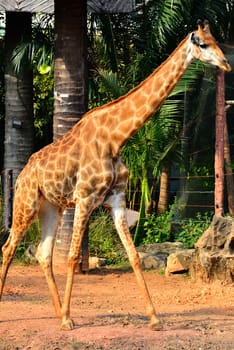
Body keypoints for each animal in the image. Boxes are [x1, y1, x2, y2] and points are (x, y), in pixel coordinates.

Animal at [0, 19, 230, 330]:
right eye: (203, 44)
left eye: (217, 40)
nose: (226, 64)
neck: (117, 138)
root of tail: (23, 173)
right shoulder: (85, 198)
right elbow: (73, 256)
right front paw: (69, 320)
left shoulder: (117, 200)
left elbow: (134, 256)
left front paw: (154, 318)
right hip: (27, 202)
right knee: (9, 248)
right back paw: (43, 312)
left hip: (51, 207)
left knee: (42, 254)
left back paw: (58, 311)